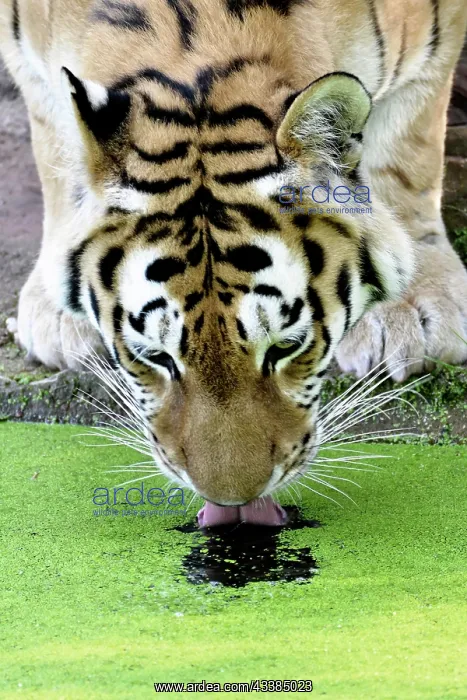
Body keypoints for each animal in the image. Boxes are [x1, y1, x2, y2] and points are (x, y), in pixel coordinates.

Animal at [1, 0, 466, 526]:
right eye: (154, 356)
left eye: (287, 347)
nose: (232, 502)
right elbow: (53, 146)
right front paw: (57, 315)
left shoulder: (436, 35)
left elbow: (406, 155)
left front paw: (413, 310)